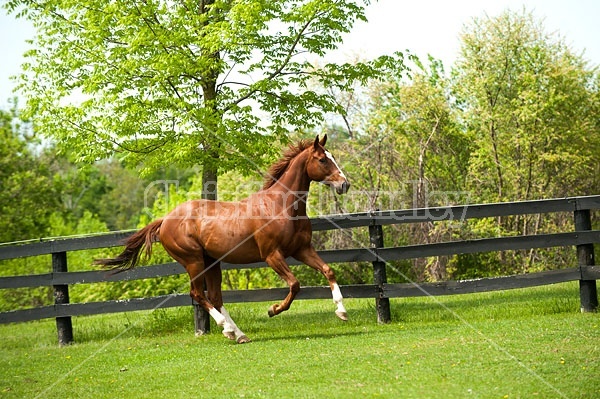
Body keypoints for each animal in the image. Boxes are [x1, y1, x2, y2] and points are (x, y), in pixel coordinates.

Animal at [95, 137, 352, 344]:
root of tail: (165, 220)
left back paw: (239, 335)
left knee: (215, 297)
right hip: (194, 262)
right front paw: (273, 309)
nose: (345, 184)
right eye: (322, 160)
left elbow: (328, 270)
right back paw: (227, 328)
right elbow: (295, 285)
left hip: (211, 263)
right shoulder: (272, 255)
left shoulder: (302, 249)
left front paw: (342, 312)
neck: (281, 206)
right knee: (198, 295)